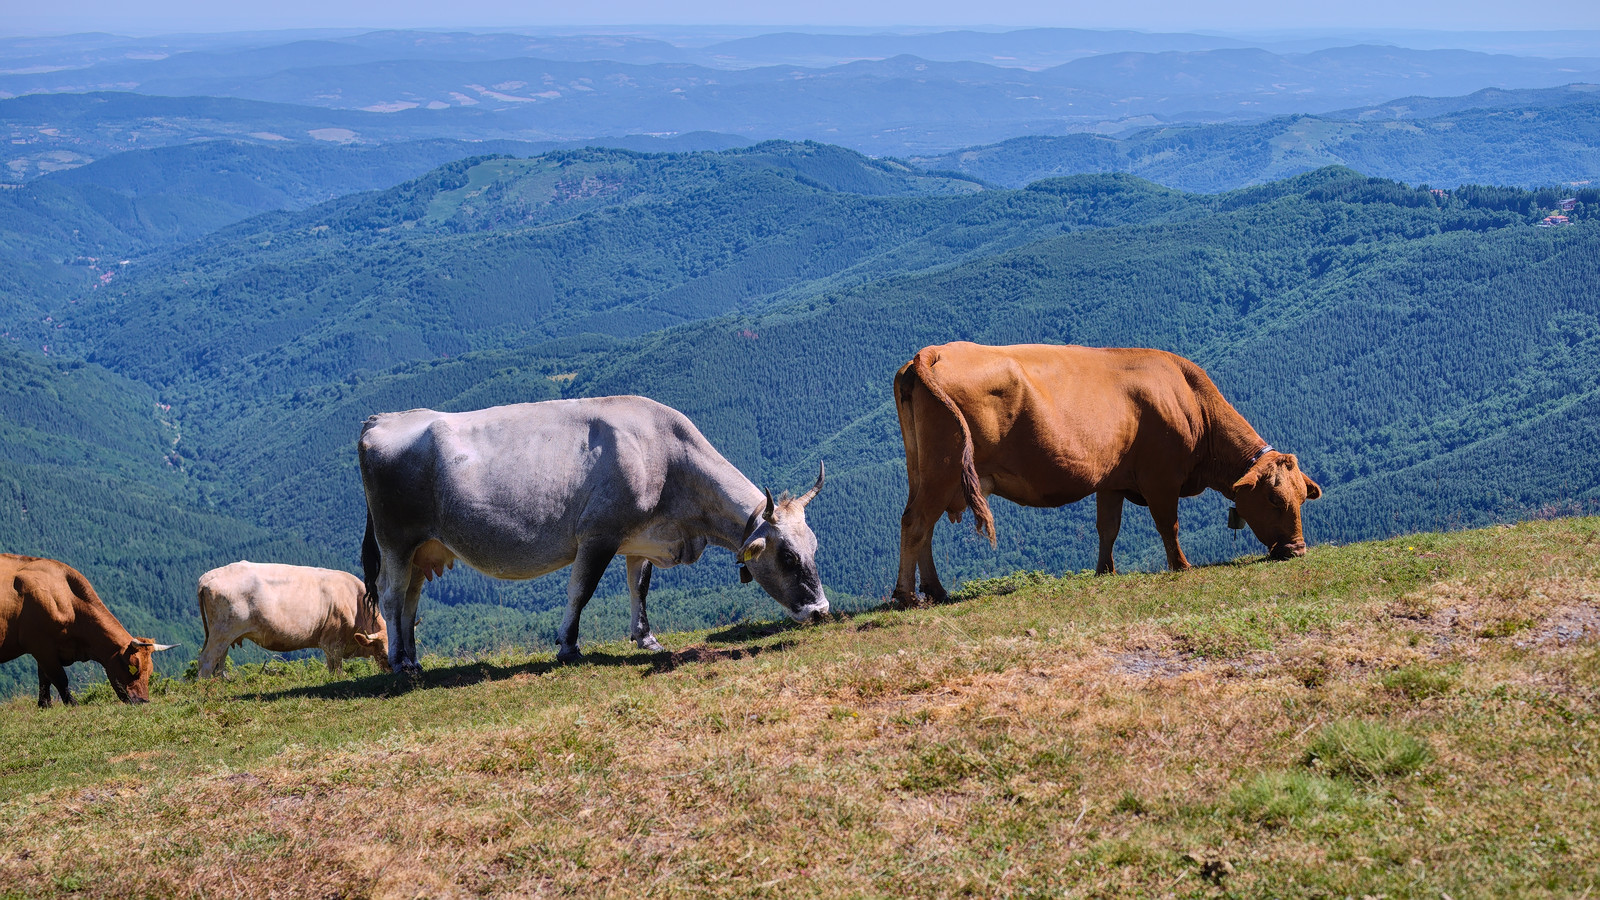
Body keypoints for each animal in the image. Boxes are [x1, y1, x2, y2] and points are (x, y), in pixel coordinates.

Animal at [0, 550, 176, 704]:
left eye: (150, 671)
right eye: (132, 668)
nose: (143, 701)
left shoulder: (47, 650)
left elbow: (44, 680)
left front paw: (45, 705)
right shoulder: (40, 645)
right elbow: (59, 678)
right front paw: (72, 704)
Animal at [358, 389, 832, 669]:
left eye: (814, 548)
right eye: (786, 556)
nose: (821, 611)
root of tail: (381, 420)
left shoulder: (642, 537)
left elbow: (639, 587)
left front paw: (646, 638)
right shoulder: (598, 535)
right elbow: (580, 591)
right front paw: (568, 646)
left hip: (424, 546)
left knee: (411, 598)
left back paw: (414, 659)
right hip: (395, 538)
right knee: (391, 594)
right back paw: (399, 662)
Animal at [889, 339, 1324, 598]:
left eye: (1304, 497)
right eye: (1274, 498)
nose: (1298, 550)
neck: (1191, 401)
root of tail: (933, 352)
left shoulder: (1111, 480)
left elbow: (1107, 529)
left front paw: (1105, 572)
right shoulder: (1161, 478)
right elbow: (1168, 525)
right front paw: (1181, 566)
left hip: (922, 470)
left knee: (921, 523)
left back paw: (935, 591)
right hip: (944, 468)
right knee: (916, 522)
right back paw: (906, 596)